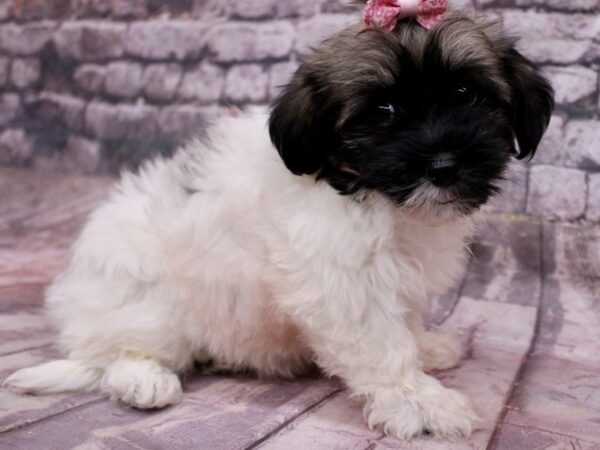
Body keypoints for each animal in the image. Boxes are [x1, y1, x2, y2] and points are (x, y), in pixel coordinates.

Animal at [3, 0, 552, 440]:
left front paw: (426, 347)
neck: (369, 191)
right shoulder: (341, 279)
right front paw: (420, 402)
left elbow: (406, 319)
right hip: (148, 303)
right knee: (121, 353)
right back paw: (146, 380)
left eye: (466, 94)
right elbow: (382, 344)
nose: (443, 165)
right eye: (383, 110)